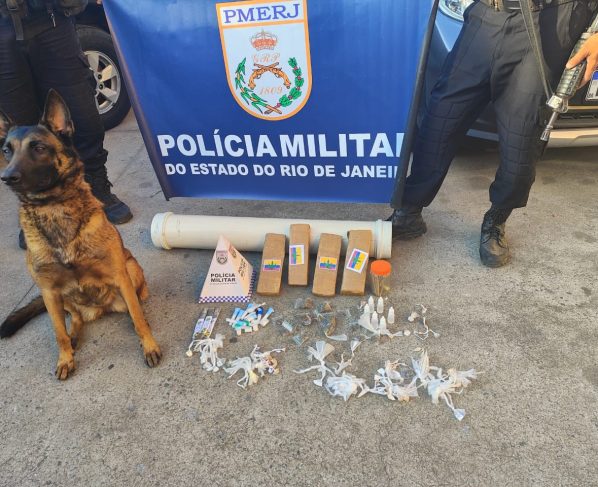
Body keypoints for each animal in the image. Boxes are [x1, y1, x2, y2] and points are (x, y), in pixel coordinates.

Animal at [0, 90, 162, 379]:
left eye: (39, 148)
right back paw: (74, 337)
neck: (53, 208)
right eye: (6, 150)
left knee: (135, 306)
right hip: (61, 298)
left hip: (131, 269)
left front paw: (149, 345)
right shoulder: (48, 290)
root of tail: (100, 309)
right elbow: (58, 333)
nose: (7, 177)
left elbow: (138, 320)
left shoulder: (120, 275)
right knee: (74, 319)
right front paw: (65, 358)